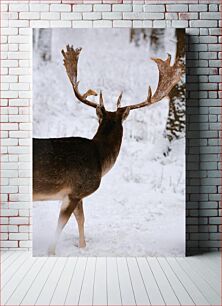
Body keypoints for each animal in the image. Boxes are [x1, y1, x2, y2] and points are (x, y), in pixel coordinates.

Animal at [32, 44, 182, 255]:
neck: (100, 159)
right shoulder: (76, 190)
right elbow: (61, 224)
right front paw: (51, 252)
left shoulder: (77, 195)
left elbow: (81, 219)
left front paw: (83, 247)